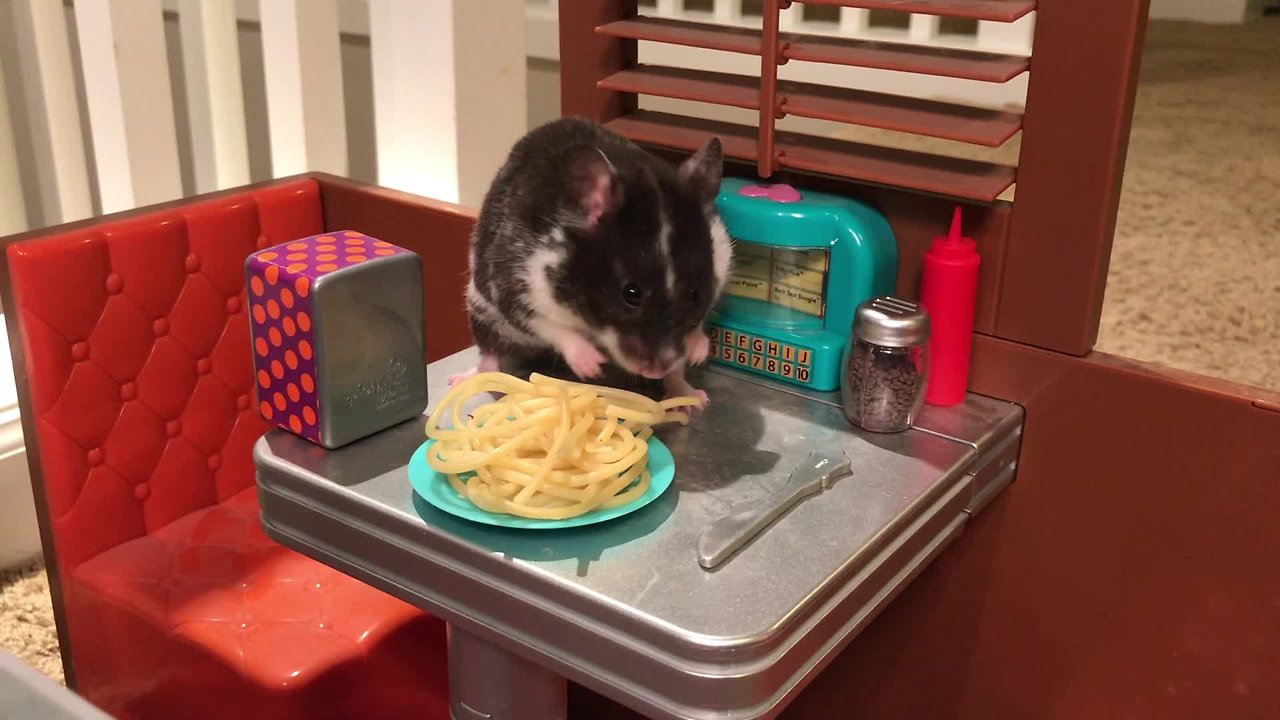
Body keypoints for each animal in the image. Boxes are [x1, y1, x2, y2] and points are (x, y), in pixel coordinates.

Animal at [450, 118, 732, 409]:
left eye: (694, 294)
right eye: (631, 294)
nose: (654, 371)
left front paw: (699, 351)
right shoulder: (515, 287)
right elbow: (552, 326)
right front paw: (593, 367)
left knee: (676, 375)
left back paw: (692, 397)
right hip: (480, 310)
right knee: (489, 353)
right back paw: (462, 379)